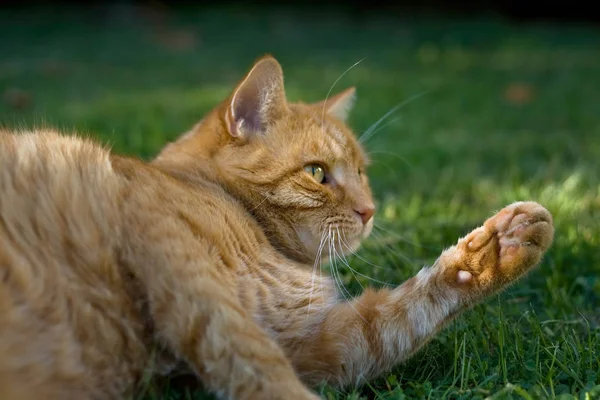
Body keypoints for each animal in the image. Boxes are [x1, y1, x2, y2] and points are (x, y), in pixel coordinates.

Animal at [0, 54, 552, 398]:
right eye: (318, 174)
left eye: (362, 173)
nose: (369, 210)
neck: (256, 234)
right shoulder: (186, 273)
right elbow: (255, 362)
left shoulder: (315, 345)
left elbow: (396, 318)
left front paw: (499, 248)